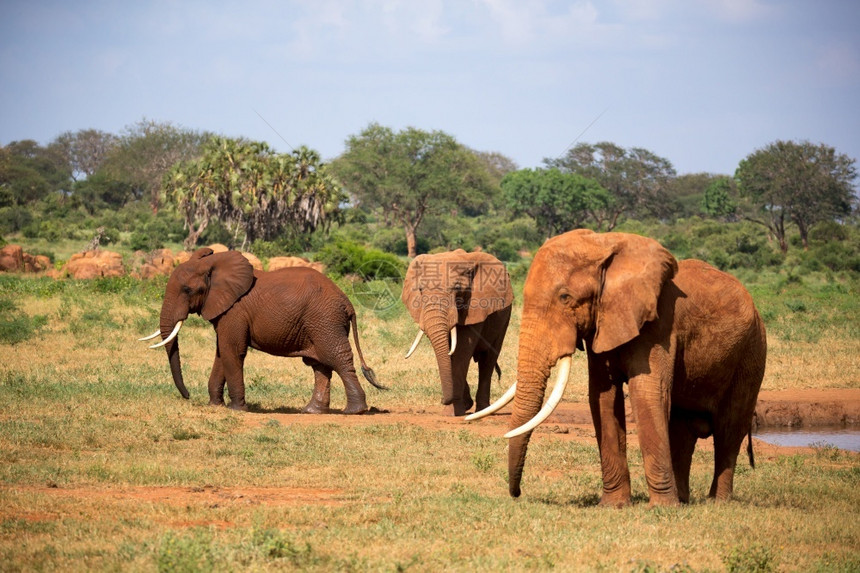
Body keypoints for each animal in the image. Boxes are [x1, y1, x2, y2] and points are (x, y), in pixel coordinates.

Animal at [138, 248, 382, 414]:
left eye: (188, 290)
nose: (188, 396)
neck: (213, 266)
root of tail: (347, 303)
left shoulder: (234, 311)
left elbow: (232, 351)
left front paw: (237, 409)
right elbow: (221, 352)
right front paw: (215, 406)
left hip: (325, 321)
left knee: (337, 359)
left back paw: (355, 411)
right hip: (319, 324)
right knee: (320, 365)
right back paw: (311, 411)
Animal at [402, 250, 512, 416]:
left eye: (458, 290)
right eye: (420, 290)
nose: (442, 400)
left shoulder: (476, 305)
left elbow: (462, 350)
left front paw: (452, 412)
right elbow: (450, 353)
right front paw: (460, 407)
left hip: (505, 317)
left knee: (488, 359)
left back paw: (483, 410)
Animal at [470, 228, 764, 504]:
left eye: (565, 297)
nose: (517, 494)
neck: (605, 245)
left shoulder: (659, 326)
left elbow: (646, 394)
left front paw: (661, 508)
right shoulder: (603, 323)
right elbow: (602, 396)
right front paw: (614, 505)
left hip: (751, 352)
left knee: (729, 428)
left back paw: (716, 502)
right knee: (683, 430)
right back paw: (683, 500)